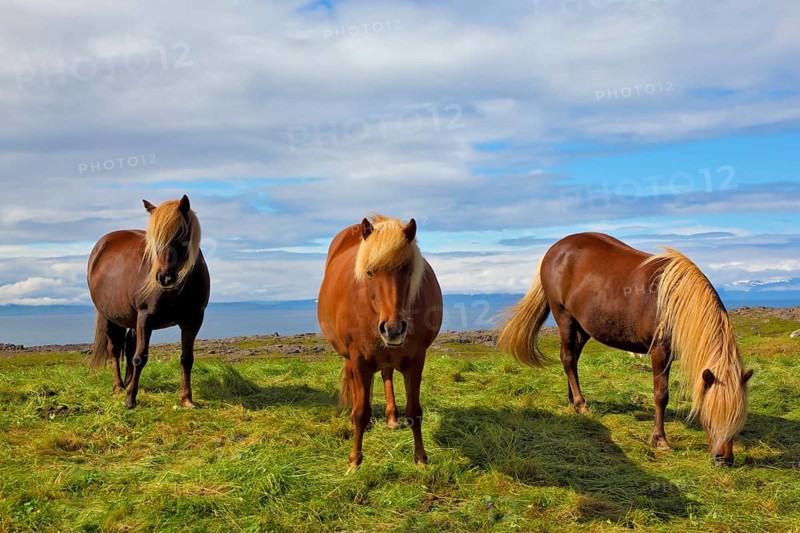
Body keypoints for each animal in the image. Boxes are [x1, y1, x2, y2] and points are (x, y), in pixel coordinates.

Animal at [87, 195, 210, 409]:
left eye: (181, 233)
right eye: (154, 240)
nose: (164, 277)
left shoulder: (193, 320)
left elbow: (187, 358)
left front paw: (187, 399)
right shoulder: (146, 318)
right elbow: (140, 357)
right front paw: (130, 399)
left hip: (131, 319)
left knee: (128, 346)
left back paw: (128, 382)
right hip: (109, 317)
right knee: (114, 349)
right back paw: (119, 386)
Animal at [317, 215, 443, 474]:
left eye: (408, 270)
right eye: (369, 271)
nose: (393, 328)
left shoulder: (416, 360)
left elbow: (414, 411)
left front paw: (421, 459)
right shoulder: (359, 360)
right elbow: (361, 412)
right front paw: (354, 462)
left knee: (387, 374)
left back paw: (392, 418)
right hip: (350, 358)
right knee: (355, 385)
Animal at [498, 232, 753, 466]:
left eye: (738, 418)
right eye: (709, 416)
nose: (724, 459)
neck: (676, 302)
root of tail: (554, 249)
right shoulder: (660, 353)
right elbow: (661, 395)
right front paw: (660, 440)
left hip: (583, 326)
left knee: (571, 360)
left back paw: (572, 400)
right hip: (564, 318)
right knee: (569, 359)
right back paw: (580, 404)